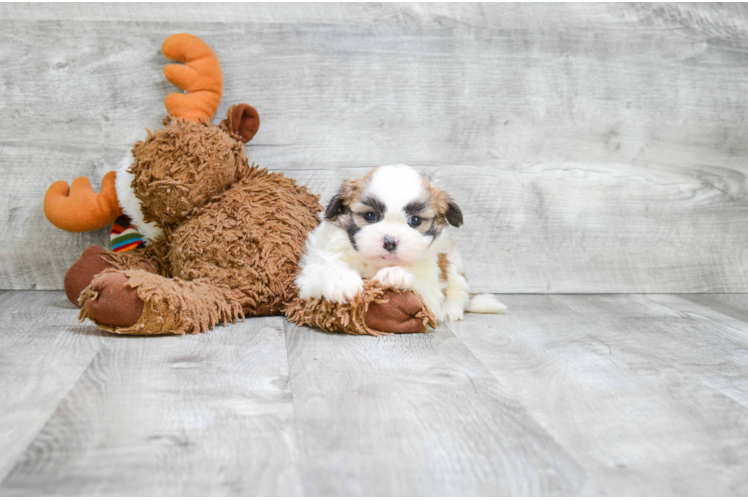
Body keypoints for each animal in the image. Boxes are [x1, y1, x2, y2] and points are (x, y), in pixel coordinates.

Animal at [296, 162, 506, 322]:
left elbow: (420, 285)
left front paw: (396, 274)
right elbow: (322, 271)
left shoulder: (430, 292)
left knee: (459, 288)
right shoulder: (309, 273)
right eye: (370, 216)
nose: (390, 241)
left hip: (453, 261)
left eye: (415, 220)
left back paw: (451, 309)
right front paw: (341, 281)